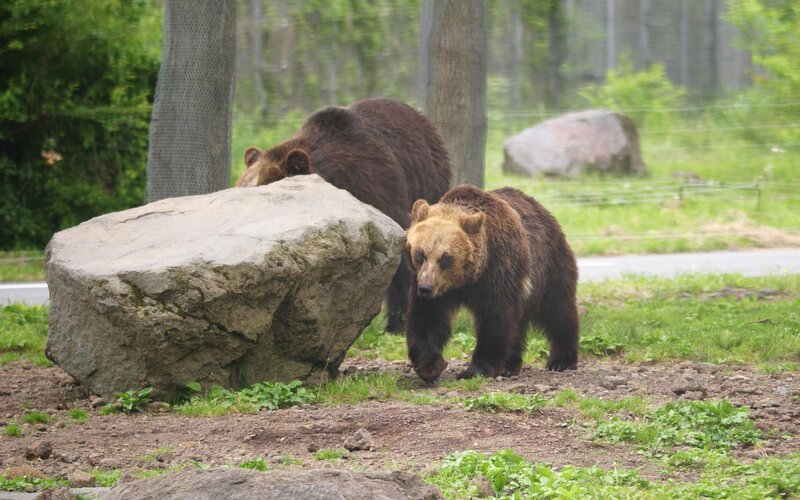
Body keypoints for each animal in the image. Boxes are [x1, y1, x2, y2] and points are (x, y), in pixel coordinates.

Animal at [404, 184, 579, 382]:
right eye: (421, 254)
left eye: (445, 258)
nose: (426, 288)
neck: (466, 281)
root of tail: (543, 210)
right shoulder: (430, 285)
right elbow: (426, 317)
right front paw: (430, 366)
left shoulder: (497, 271)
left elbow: (495, 319)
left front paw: (474, 370)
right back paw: (510, 365)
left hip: (548, 266)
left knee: (558, 310)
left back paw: (561, 360)